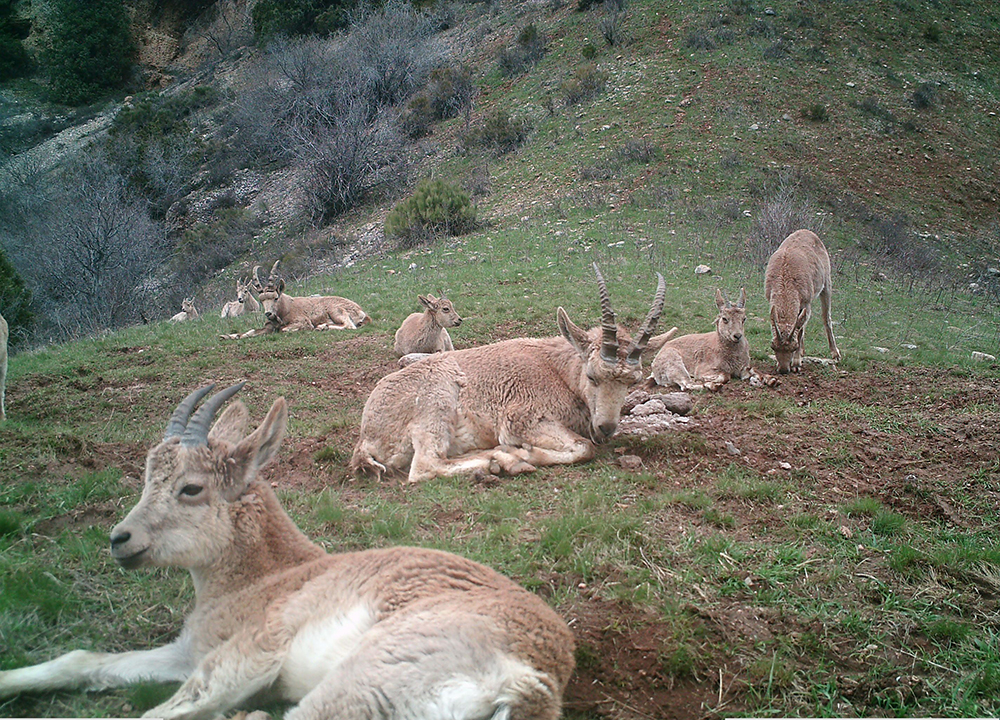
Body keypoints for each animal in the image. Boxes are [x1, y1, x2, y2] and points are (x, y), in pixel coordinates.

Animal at [0, 382, 576, 720]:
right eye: (145, 476)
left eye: (191, 488)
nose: (121, 540)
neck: (265, 577)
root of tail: (527, 682)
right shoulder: (187, 653)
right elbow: (84, 660)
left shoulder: (245, 653)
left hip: (357, 687)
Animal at [352, 264, 672, 484]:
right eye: (592, 376)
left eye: (632, 382)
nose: (606, 428)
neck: (557, 372)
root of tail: (367, 437)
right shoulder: (521, 418)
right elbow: (584, 448)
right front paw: (524, 453)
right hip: (435, 403)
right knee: (425, 466)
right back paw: (502, 461)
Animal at [764, 229, 844, 376]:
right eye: (773, 346)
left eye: (792, 347)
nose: (783, 369)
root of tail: (808, 232)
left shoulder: (806, 302)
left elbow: (800, 329)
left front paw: (796, 363)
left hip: (827, 283)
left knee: (826, 318)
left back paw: (835, 354)